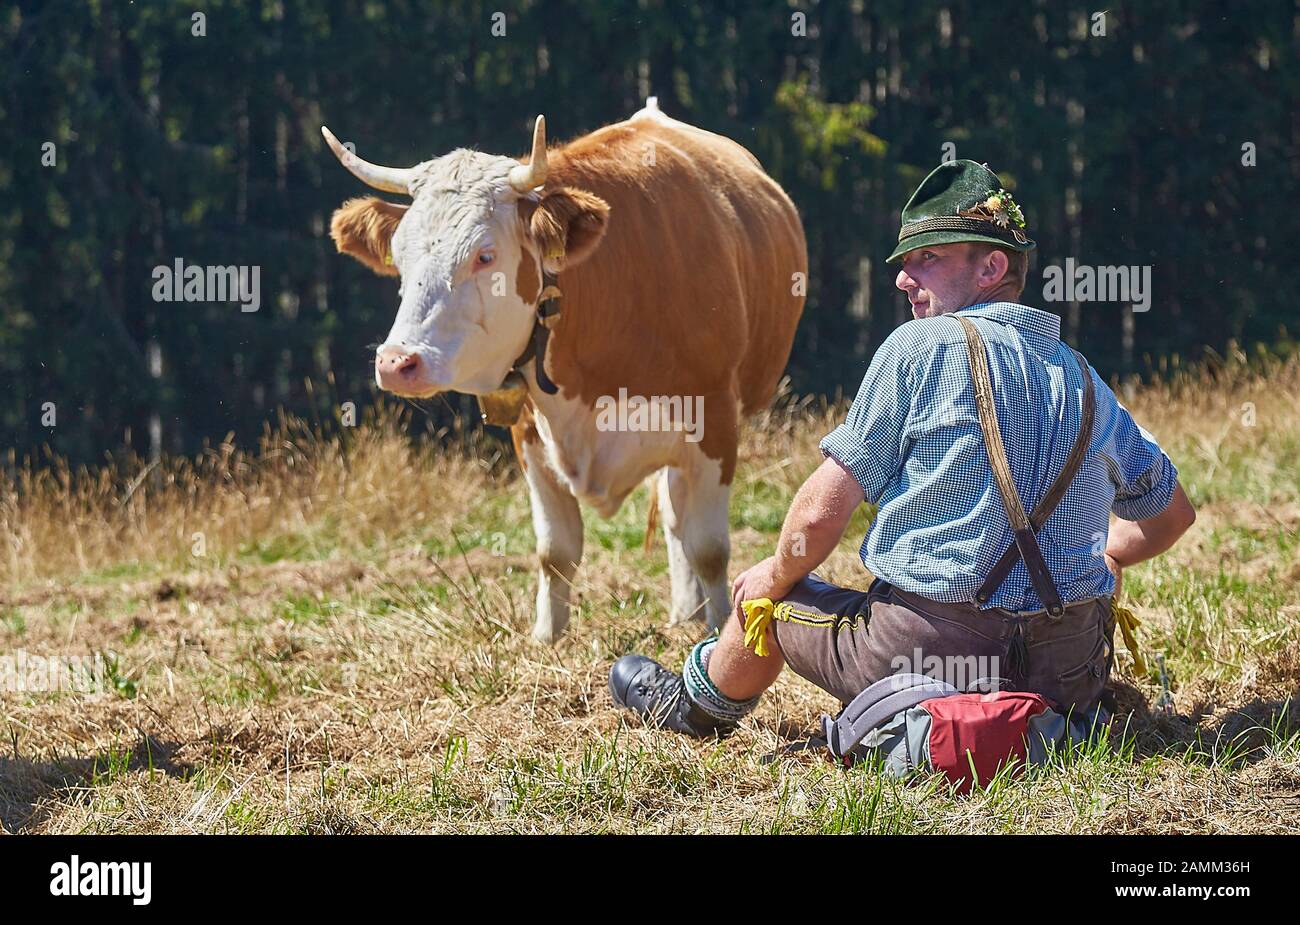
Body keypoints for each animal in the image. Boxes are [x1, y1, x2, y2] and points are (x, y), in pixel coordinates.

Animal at [325, 97, 806, 639]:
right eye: (400, 257)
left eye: (484, 255)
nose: (397, 362)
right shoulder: (529, 430)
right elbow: (555, 551)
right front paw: (546, 638)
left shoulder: (716, 423)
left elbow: (709, 547)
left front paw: (722, 629)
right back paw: (685, 612)